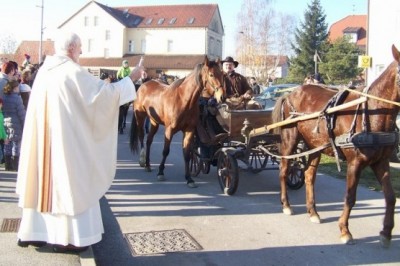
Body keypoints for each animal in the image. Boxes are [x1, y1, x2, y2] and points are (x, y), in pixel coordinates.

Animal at [131, 56, 225, 187]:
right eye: (211, 74)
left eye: (222, 74)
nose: (222, 97)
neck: (183, 100)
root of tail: (143, 85)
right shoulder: (169, 130)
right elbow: (166, 151)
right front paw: (161, 172)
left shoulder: (189, 130)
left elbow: (187, 153)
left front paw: (189, 178)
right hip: (140, 117)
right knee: (141, 136)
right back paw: (142, 160)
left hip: (154, 122)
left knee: (149, 140)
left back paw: (148, 165)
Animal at [272, 44, 400, 246]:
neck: (371, 111)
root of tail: (290, 93)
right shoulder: (355, 163)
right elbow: (350, 197)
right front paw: (345, 230)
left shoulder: (381, 161)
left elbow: (390, 197)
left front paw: (386, 232)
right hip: (290, 139)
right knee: (284, 170)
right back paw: (286, 204)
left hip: (314, 145)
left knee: (309, 176)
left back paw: (313, 212)